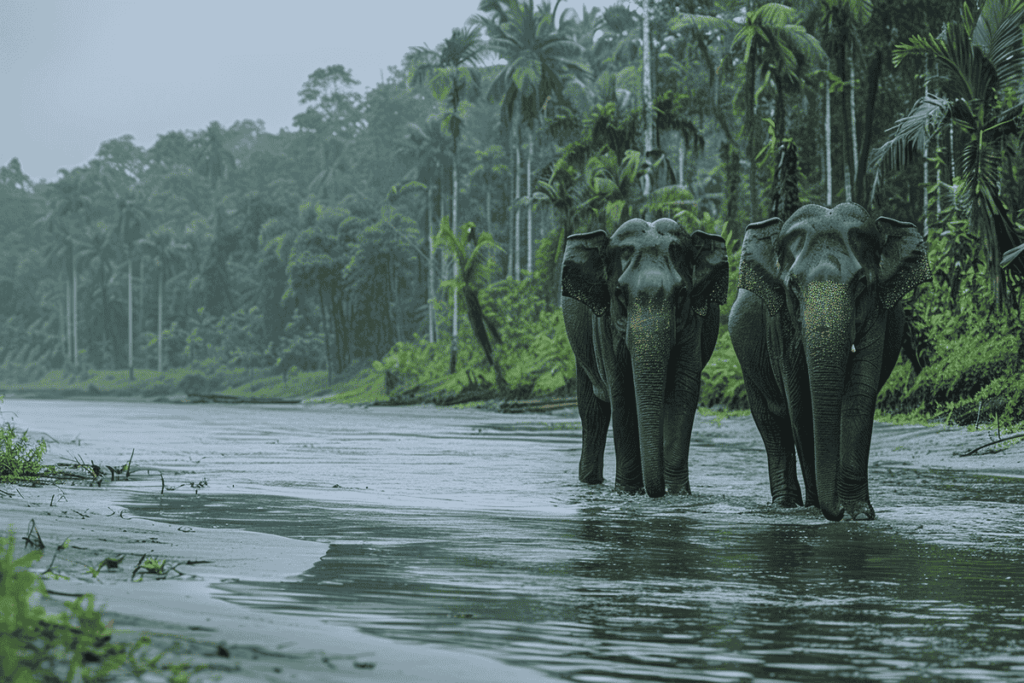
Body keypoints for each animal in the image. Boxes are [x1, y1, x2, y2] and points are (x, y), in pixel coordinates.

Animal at [561, 217, 729, 497]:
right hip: (581, 349)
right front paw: (628, 492)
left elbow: (682, 391)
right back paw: (590, 482)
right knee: (593, 413)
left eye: (681, 293)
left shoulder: (693, 324)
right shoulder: (604, 327)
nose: (657, 492)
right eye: (619, 292)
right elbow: (622, 392)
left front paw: (678, 493)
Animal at [728, 203, 930, 521]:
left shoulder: (878, 313)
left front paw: (859, 513)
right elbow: (801, 404)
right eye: (793, 285)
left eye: (861, 283)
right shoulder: (780, 324)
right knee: (772, 423)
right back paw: (786, 504)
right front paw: (819, 507)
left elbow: (859, 395)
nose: (837, 509)